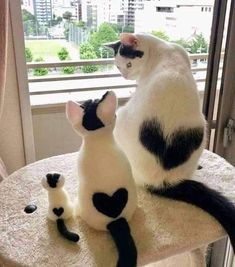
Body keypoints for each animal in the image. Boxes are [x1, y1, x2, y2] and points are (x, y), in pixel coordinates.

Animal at [106, 32, 235, 252]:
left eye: (128, 64)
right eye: (118, 66)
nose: (124, 75)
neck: (160, 49)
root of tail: (162, 180)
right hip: (202, 127)